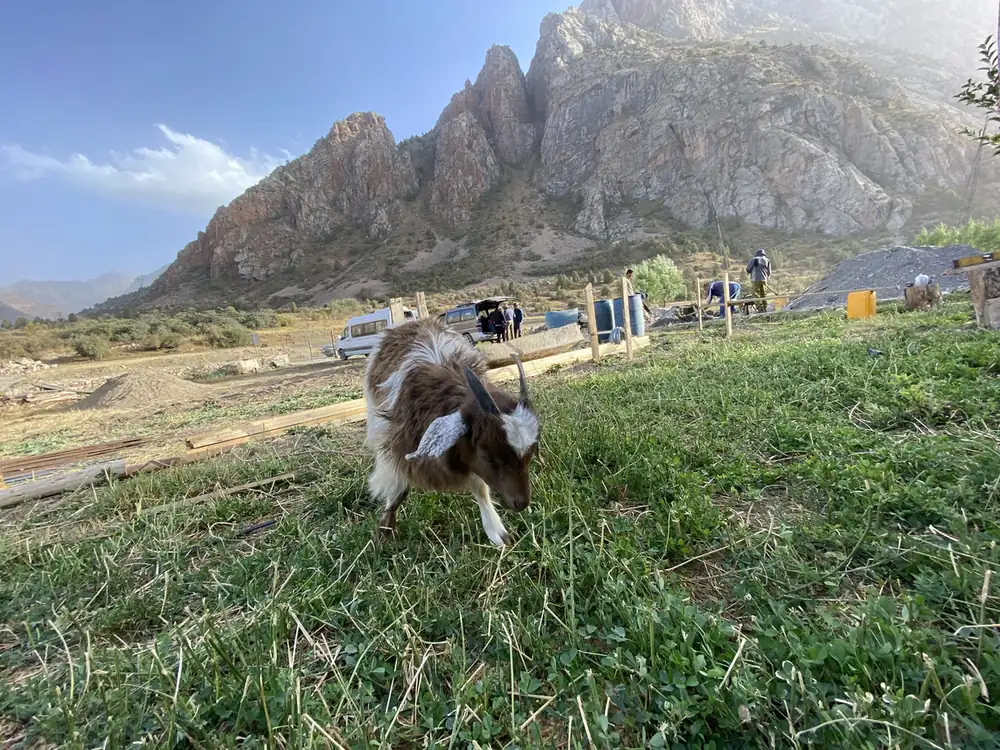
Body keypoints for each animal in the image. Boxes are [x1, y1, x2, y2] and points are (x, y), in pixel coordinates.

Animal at [364, 318, 540, 546]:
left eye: (531, 454)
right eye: (487, 456)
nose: (521, 503)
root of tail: (410, 321)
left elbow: (480, 486)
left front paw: (497, 533)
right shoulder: (392, 442)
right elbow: (397, 488)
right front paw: (384, 531)